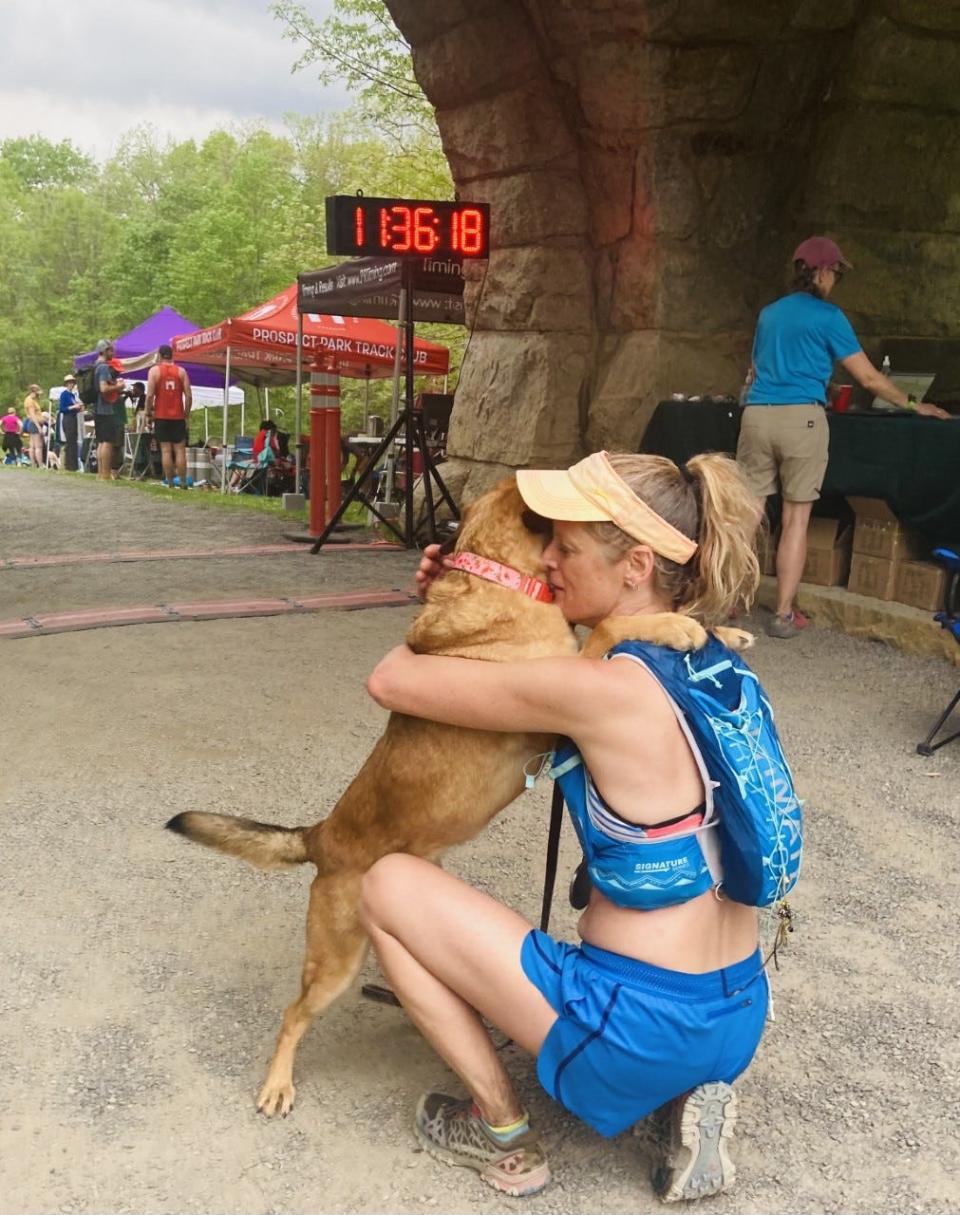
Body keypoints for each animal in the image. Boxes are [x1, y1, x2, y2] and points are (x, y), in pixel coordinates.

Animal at [165, 478, 578, 1112]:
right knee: (292, 1015)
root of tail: (319, 838)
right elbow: (617, 631)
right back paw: (277, 1083)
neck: (499, 572)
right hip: (335, 962)